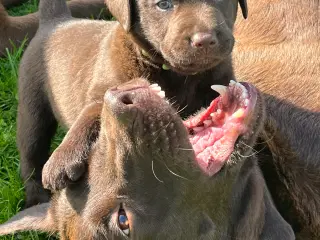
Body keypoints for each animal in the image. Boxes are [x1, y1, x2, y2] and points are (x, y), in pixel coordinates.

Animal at [15, 0, 248, 207]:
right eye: (163, 4)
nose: (205, 40)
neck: (175, 74)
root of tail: (56, 21)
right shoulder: (107, 87)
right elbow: (93, 111)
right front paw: (64, 157)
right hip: (32, 111)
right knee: (30, 157)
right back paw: (36, 199)